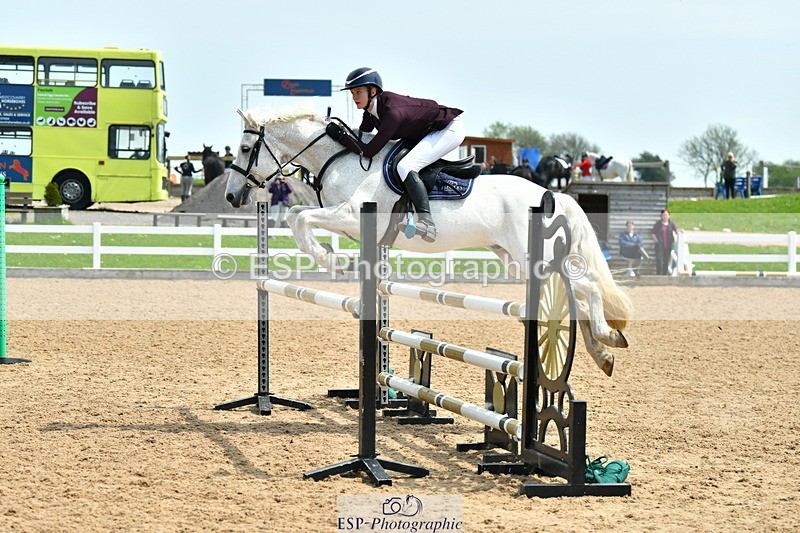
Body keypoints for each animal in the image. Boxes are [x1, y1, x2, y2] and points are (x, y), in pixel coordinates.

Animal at [225, 106, 633, 376]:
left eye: (245, 150)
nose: (231, 196)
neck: (341, 161)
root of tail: (551, 193)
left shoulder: (352, 215)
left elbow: (301, 217)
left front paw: (330, 260)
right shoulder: (347, 222)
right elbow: (298, 215)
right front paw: (331, 258)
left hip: (535, 255)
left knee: (587, 285)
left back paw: (606, 339)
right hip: (515, 257)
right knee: (576, 294)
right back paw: (603, 352)